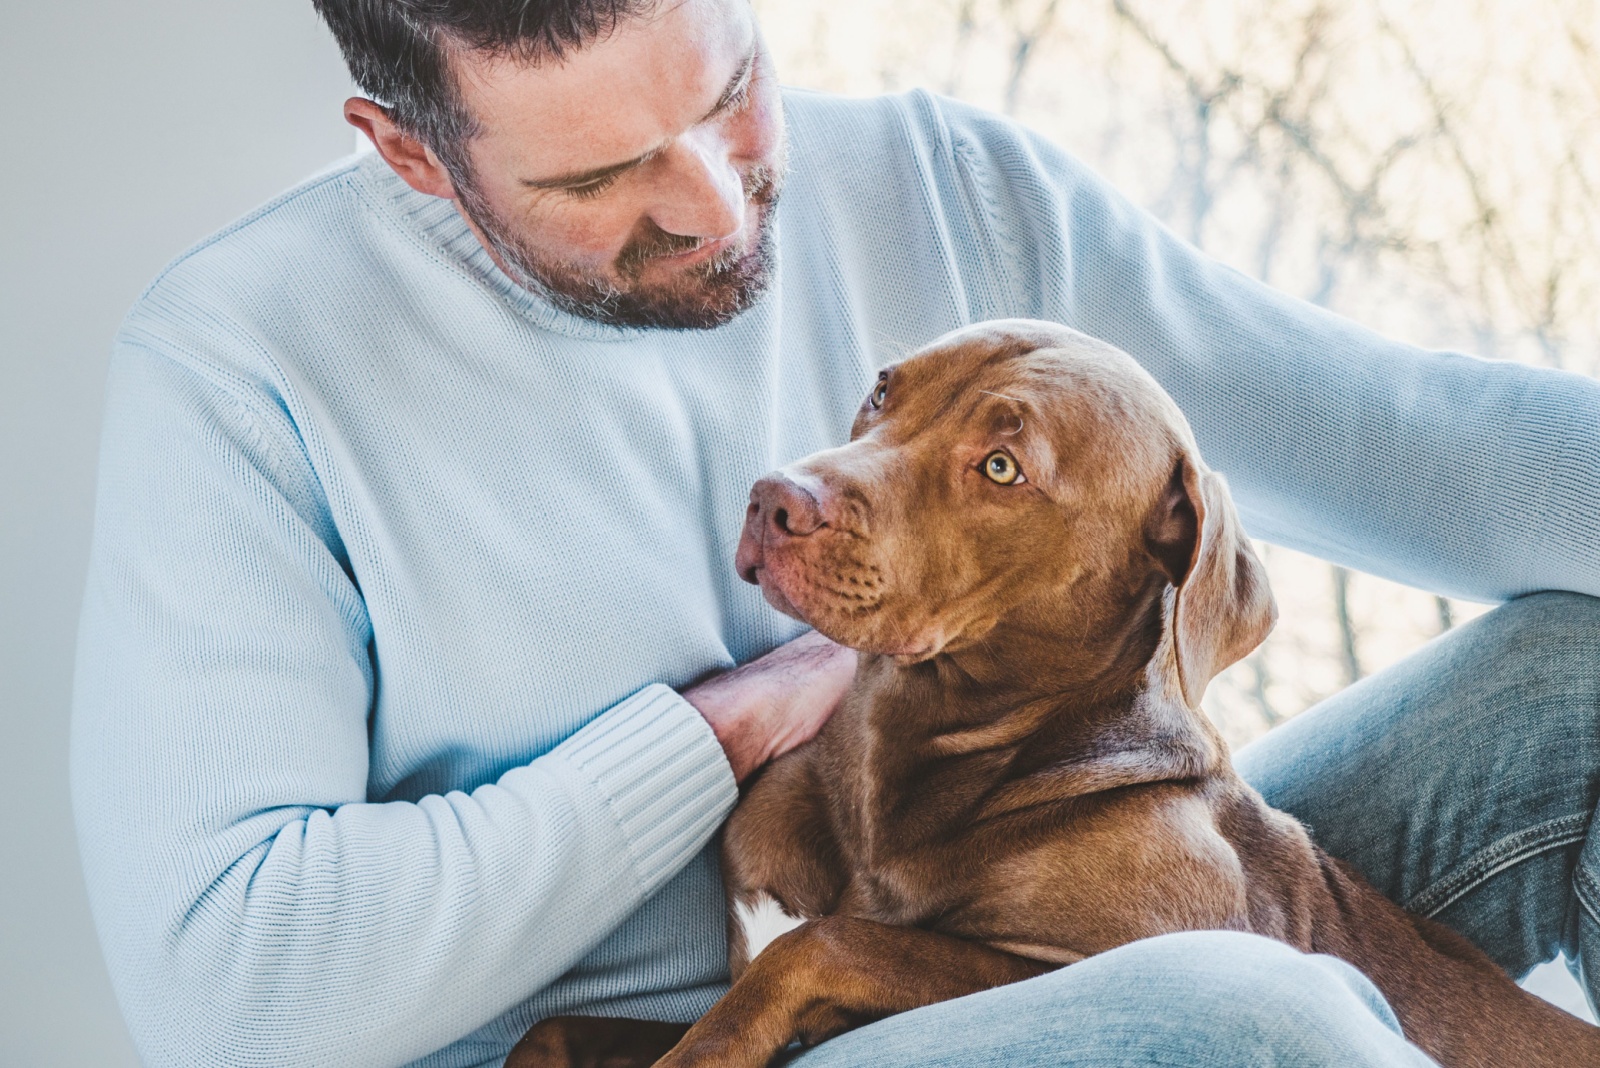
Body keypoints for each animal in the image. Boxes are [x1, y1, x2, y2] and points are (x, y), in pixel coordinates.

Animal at [515, 321, 1600, 1068]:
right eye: (882, 390)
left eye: (1002, 467)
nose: (774, 499)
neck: (895, 767)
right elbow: (553, 1028)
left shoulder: (1077, 962)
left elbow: (823, 944)